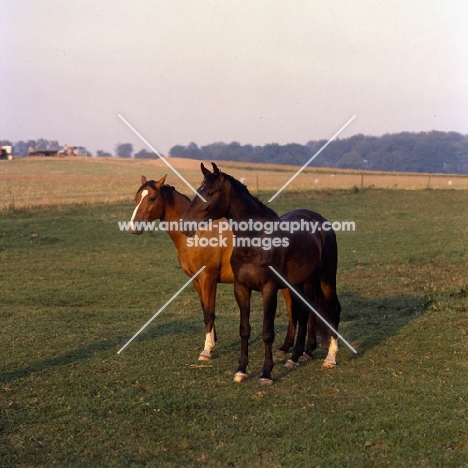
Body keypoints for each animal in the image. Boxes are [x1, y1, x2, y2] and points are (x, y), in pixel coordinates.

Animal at [129, 176, 304, 362]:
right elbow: (205, 310)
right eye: (136, 198)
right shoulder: (196, 281)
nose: (133, 227)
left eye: (152, 198)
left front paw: (207, 350)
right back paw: (285, 347)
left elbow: (209, 313)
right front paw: (212, 342)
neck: (198, 234)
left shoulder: (208, 279)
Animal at [182, 164, 340, 384]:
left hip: (326, 279)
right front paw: (241, 370)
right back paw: (295, 357)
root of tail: (321, 222)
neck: (255, 243)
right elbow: (244, 330)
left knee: (333, 310)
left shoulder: (269, 290)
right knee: (303, 313)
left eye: (211, 193)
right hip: (302, 284)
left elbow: (267, 332)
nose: (185, 224)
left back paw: (330, 357)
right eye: (199, 190)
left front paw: (266, 373)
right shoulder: (241, 289)